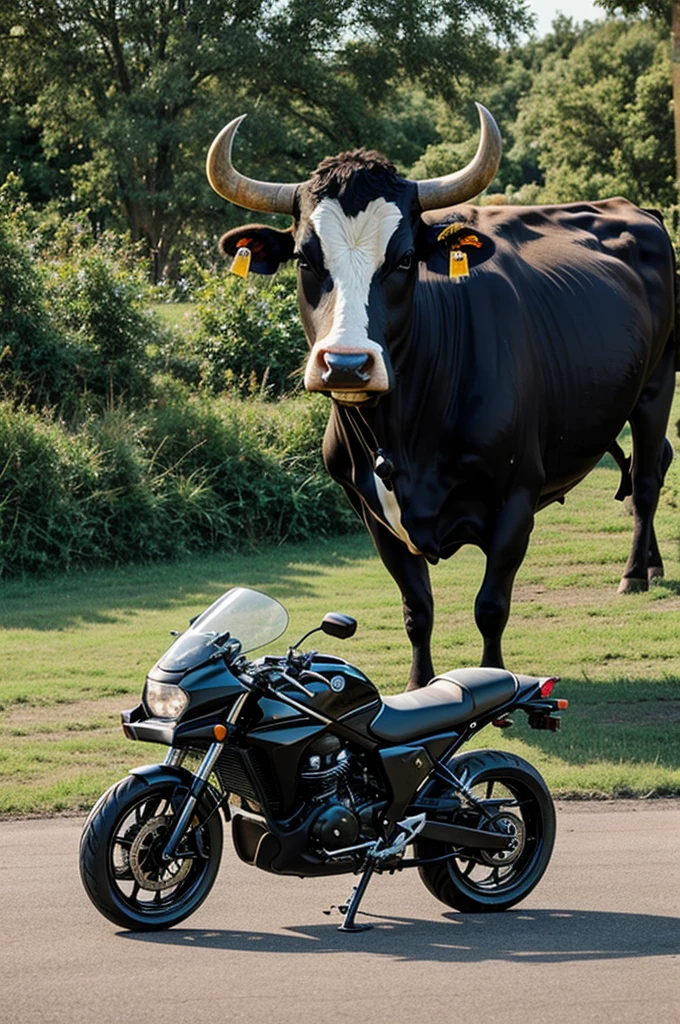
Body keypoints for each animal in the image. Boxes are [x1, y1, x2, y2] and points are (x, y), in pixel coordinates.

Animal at [210, 132, 675, 688]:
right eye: (304, 258)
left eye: (405, 258)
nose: (345, 364)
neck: (404, 436)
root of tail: (632, 208)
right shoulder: (371, 511)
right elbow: (417, 608)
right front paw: (417, 685)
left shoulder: (516, 499)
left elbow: (491, 606)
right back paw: (654, 566)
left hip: (656, 386)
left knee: (645, 482)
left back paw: (635, 573)